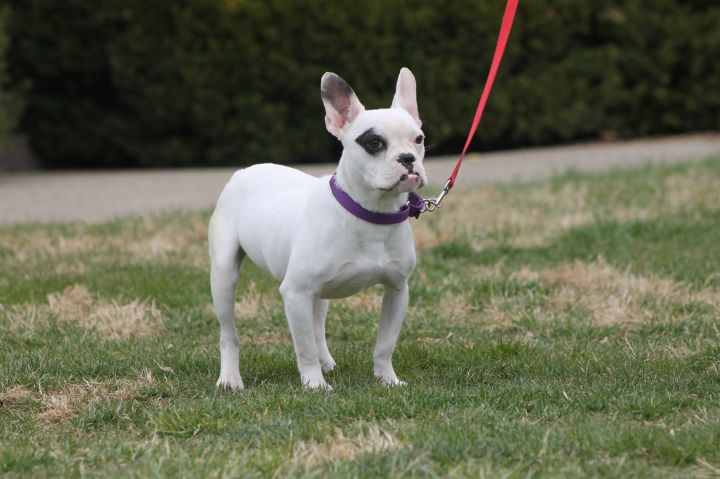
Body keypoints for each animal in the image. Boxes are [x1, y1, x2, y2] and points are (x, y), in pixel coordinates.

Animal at [207, 67, 428, 390]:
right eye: (374, 143)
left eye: (419, 139)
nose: (408, 158)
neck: (371, 213)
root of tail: (244, 171)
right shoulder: (296, 292)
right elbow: (304, 348)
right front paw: (314, 384)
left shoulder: (397, 290)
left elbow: (385, 344)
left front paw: (387, 379)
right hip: (224, 275)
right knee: (229, 333)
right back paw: (230, 378)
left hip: (319, 292)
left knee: (317, 324)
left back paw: (327, 361)